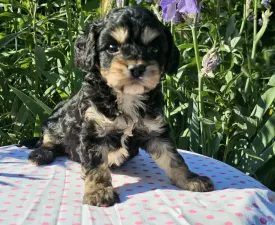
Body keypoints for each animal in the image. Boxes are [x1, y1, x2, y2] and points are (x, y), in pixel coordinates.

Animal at [24, 6, 215, 207]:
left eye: (154, 48)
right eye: (112, 48)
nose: (137, 68)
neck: (127, 96)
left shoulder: (155, 131)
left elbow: (174, 158)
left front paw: (190, 178)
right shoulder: (94, 132)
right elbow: (97, 167)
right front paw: (99, 192)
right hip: (56, 118)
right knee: (48, 138)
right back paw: (40, 154)